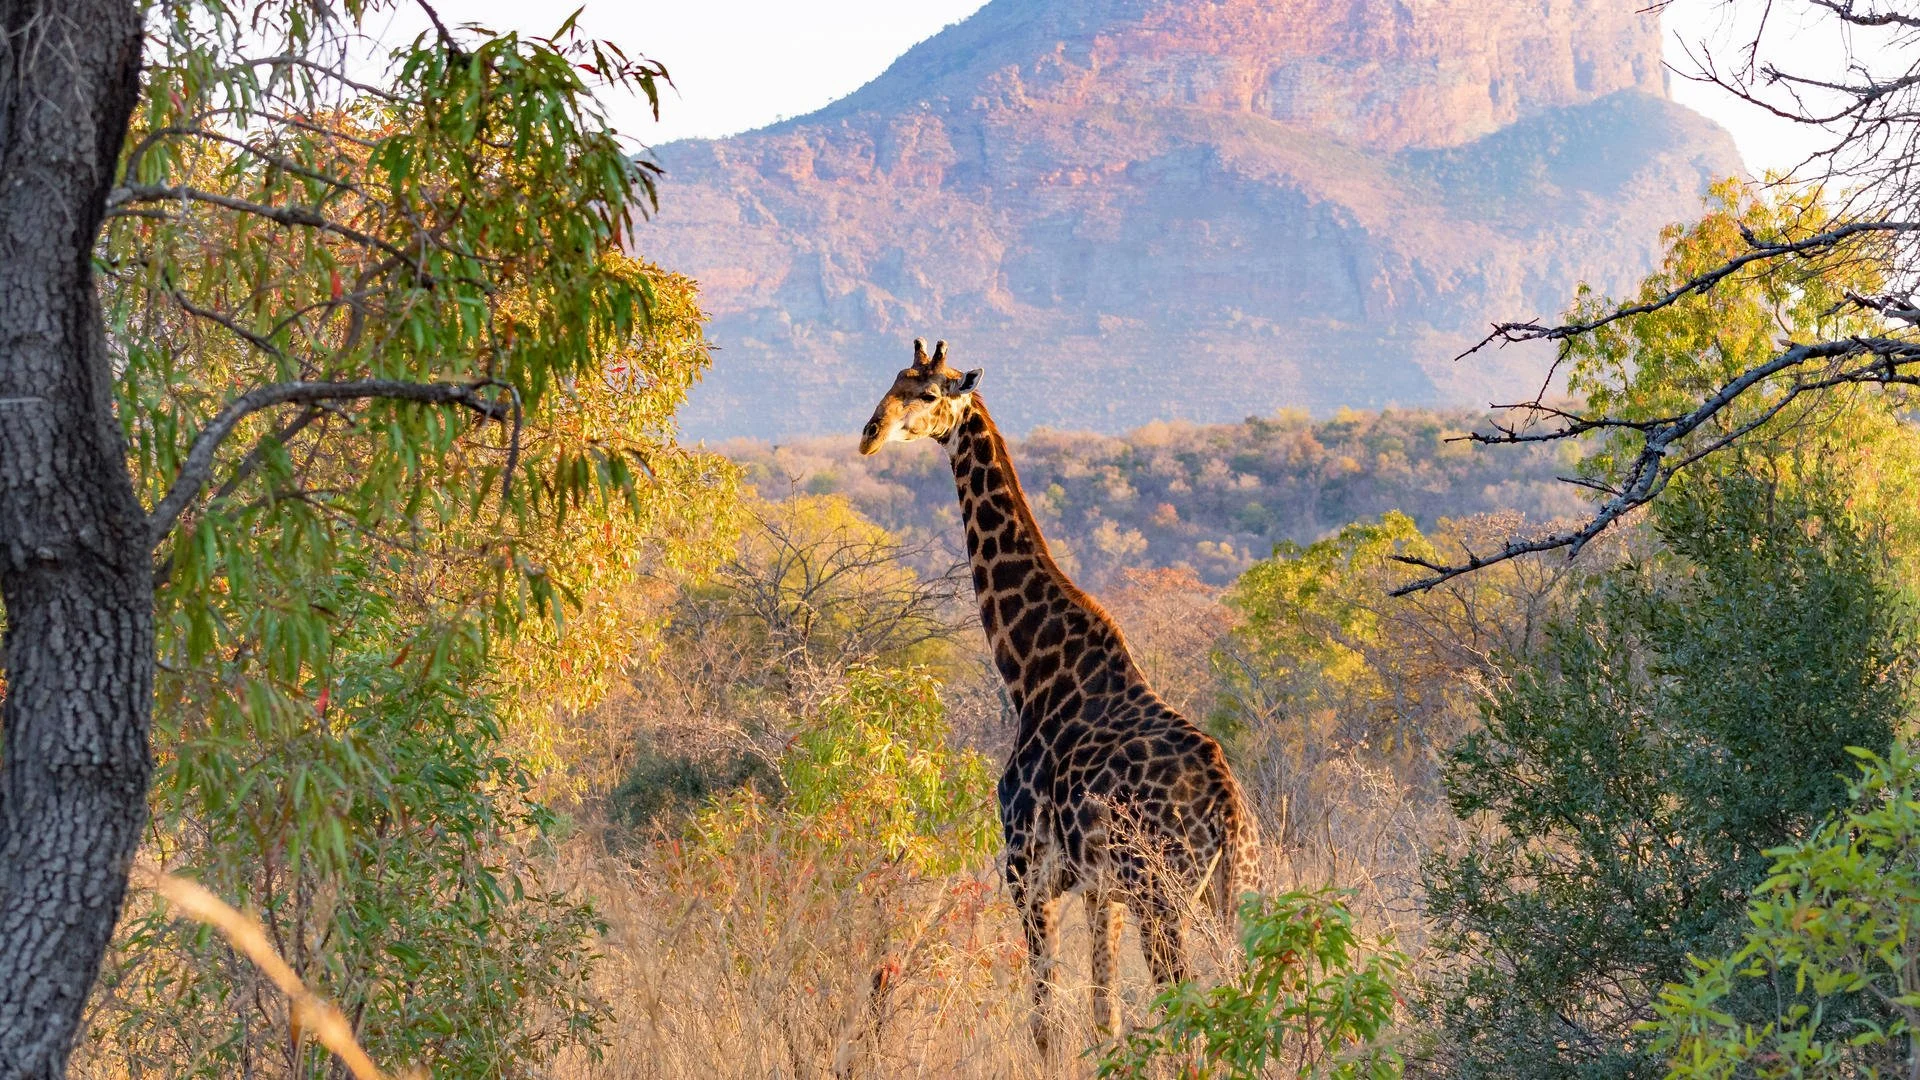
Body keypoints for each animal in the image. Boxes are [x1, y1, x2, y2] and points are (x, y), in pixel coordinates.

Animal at [859, 338, 1261, 1054]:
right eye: (892, 382)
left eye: (928, 393)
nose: (869, 434)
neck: (1029, 672)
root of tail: (1229, 812)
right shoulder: (1101, 892)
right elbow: (1105, 1018)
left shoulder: (1028, 873)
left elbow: (1046, 1024)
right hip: (1230, 896)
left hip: (1164, 896)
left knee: (1189, 1010)